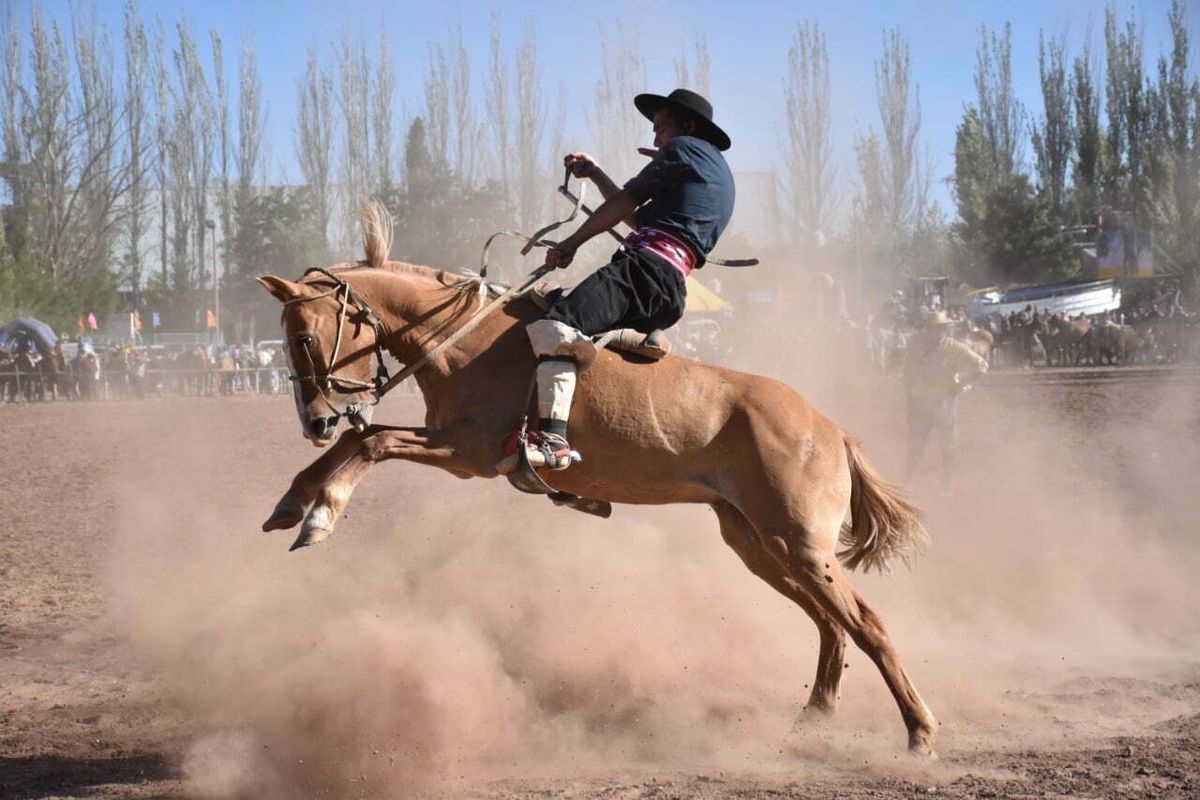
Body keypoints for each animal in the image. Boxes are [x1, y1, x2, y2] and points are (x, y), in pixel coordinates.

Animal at [256, 205, 939, 755]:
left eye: (306, 336)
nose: (315, 420)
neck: (470, 341)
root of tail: (830, 429)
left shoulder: (468, 451)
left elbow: (372, 442)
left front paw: (322, 514)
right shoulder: (446, 441)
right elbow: (360, 439)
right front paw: (290, 504)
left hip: (799, 542)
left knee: (865, 623)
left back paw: (919, 731)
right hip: (756, 542)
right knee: (831, 623)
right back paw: (817, 714)